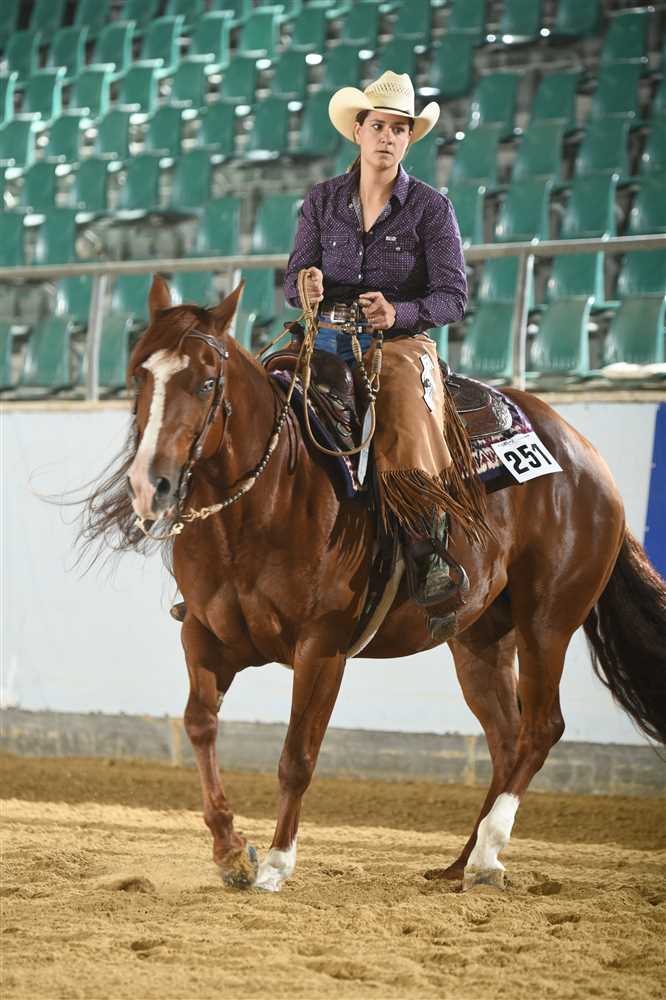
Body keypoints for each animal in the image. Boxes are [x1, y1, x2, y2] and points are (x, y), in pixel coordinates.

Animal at [80, 275, 666, 893]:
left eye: (207, 381)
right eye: (140, 375)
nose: (151, 484)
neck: (265, 502)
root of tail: (583, 453)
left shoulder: (322, 647)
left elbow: (297, 755)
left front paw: (276, 864)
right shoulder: (204, 636)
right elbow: (199, 724)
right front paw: (232, 852)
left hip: (547, 622)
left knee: (541, 728)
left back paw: (487, 855)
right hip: (479, 636)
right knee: (506, 739)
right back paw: (462, 862)